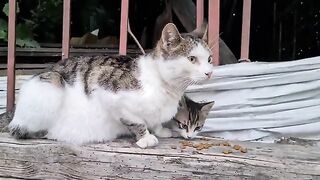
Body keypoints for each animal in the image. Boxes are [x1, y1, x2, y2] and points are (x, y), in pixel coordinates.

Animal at [8, 22, 212, 148]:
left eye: (209, 59)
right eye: (192, 59)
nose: (209, 72)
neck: (168, 89)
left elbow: (154, 120)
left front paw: (160, 129)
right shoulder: (104, 85)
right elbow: (135, 119)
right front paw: (146, 137)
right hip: (52, 85)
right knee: (21, 130)